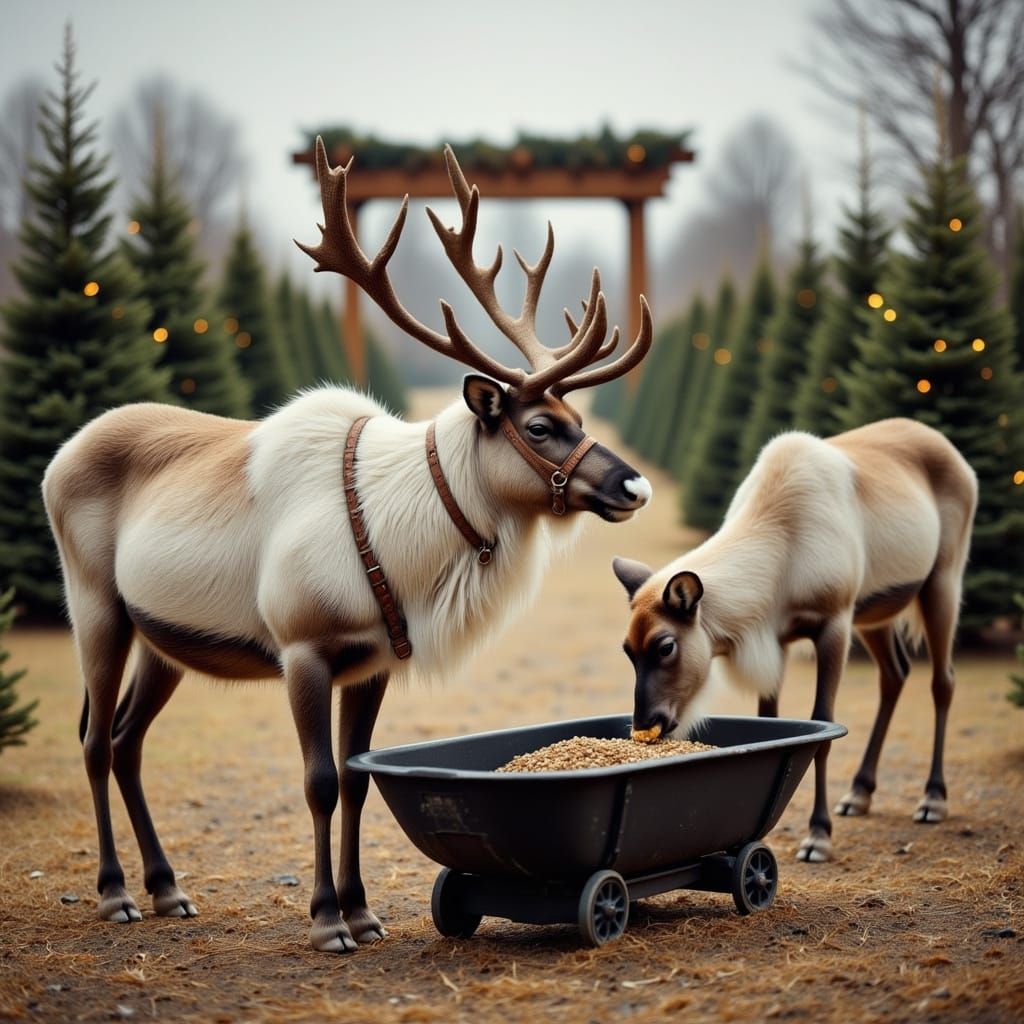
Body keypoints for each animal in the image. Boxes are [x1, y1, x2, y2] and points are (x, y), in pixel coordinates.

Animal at [42, 138, 654, 953]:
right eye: (539, 426)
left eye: (579, 418)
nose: (633, 485)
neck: (405, 547)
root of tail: (57, 458)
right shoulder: (302, 647)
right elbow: (320, 781)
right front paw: (327, 918)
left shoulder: (372, 662)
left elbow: (360, 778)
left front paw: (363, 911)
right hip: (96, 607)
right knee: (90, 739)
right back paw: (115, 893)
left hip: (161, 638)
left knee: (125, 739)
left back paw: (168, 887)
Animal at [612, 418, 977, 862]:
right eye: (628, 651)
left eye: (665, 646)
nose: (644, 724)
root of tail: (951, 449)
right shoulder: (778, 642)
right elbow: (775, 725)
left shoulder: (835, 621)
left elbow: (823, 726)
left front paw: (818, 835)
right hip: (875, 611)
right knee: (895, 674)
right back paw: (859, 792)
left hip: (943, 579)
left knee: (943, 681)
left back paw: (933, 798)